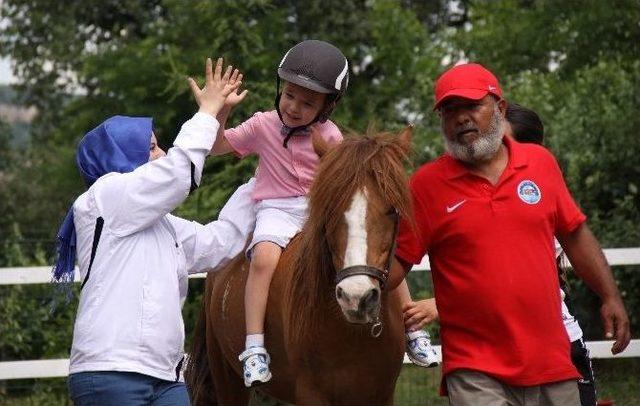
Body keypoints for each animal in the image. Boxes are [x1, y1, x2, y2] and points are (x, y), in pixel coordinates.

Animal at [188, 127, 412, 406]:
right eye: (330, 207)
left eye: (392, 210)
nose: (356, 297)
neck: (351, 333)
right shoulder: (311, 394)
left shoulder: (382, 394)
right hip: (227, 380)